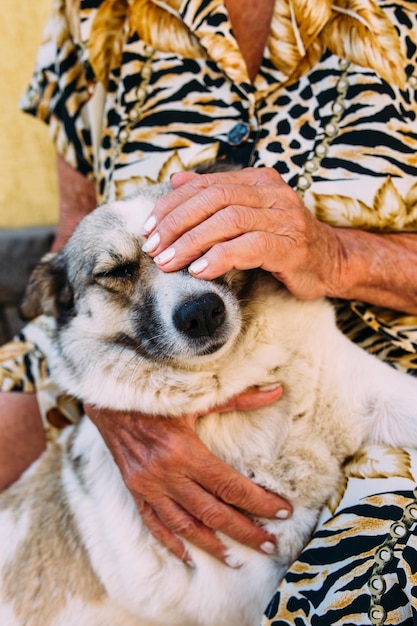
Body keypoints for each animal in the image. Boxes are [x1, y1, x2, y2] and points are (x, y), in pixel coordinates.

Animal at [0, 180, 416, 624]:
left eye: (203, 237)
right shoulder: (248, 585)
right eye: (117, 271)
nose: (201, 313)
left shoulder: (380, 395)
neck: (236, 386)